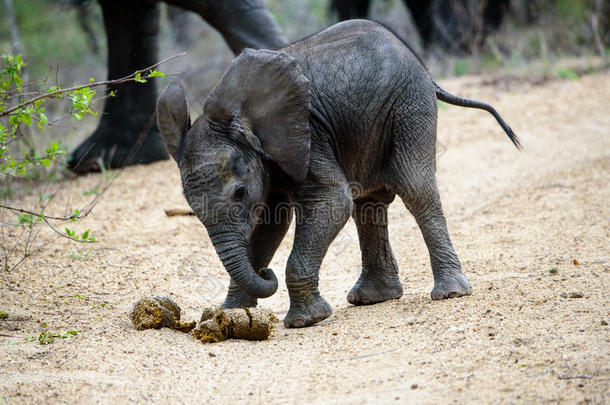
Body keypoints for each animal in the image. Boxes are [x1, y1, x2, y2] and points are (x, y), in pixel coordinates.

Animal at [157, 19, 516, 328]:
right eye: (191, 208)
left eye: (239, 193)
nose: (266, 274)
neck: (240, 119)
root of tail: (422, 67)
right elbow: (272, 223)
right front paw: (230, 314)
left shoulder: (309, 135)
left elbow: (331, 202)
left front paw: (306, 320)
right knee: (368, 203)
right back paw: (374, 298)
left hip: (409, 105)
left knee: (415, 188)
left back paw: (450, 293)